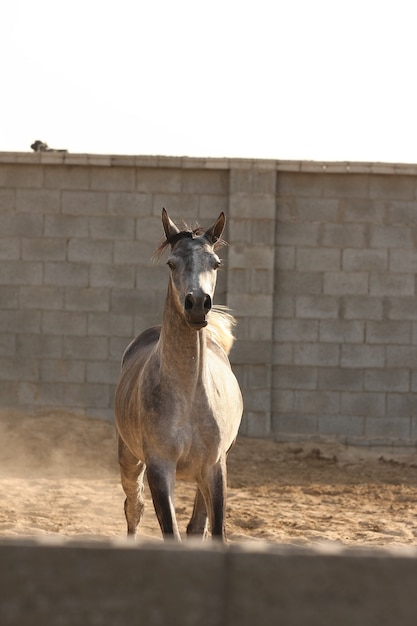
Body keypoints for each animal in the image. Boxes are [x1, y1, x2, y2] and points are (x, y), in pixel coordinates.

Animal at [114, 210, 244, 540]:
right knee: (133, 508)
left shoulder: (215, 466)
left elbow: (215, 530)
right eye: (172, 263)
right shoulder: (160, 468)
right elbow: (168, 529)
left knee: (197, 524)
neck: (188, 395)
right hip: (129, 459)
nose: (197, 304)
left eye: (216, 263)